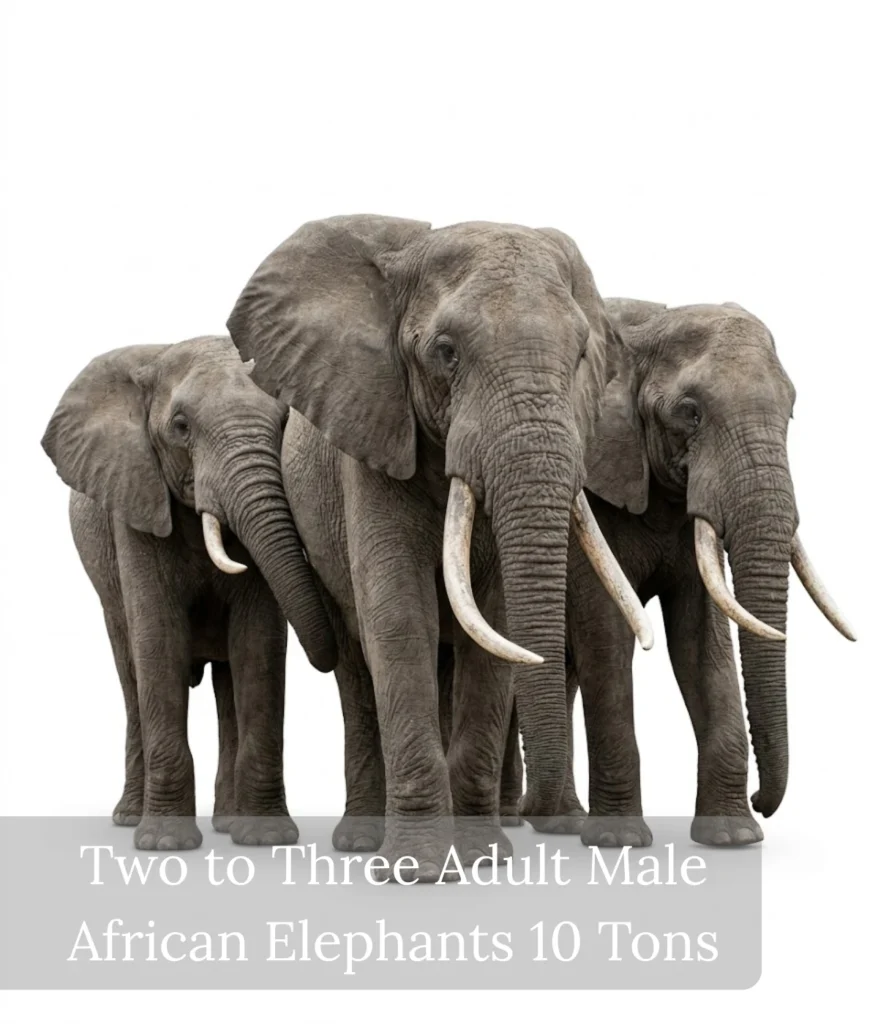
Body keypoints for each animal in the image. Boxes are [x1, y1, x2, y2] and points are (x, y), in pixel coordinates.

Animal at [41, 336, 338, 850]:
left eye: (284, 421)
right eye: (180, 427)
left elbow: (259, 646)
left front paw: (266, 839)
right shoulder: (135, 496)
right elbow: (159, 642)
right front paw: (164, 844)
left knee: (227, 681)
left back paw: (226, 824)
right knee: (131, 676)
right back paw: (128, 818)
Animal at [226, 214, 653, 880]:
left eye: (582, 354)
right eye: (445, 352)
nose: (549, 820)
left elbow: (493, 627)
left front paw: (481, 861)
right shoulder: (372, 434)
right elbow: (400, 618)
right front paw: (416, 871)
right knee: (357, 670)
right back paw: (360, 841)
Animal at [497, 299, 855, 846]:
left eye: (791, 411)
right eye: (691, 412)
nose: (762, 800)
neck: (648, 327)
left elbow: (702, 638)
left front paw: (733, 837)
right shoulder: (595, 496)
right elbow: (609, 634)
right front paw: (619, 842)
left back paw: (557, 821)